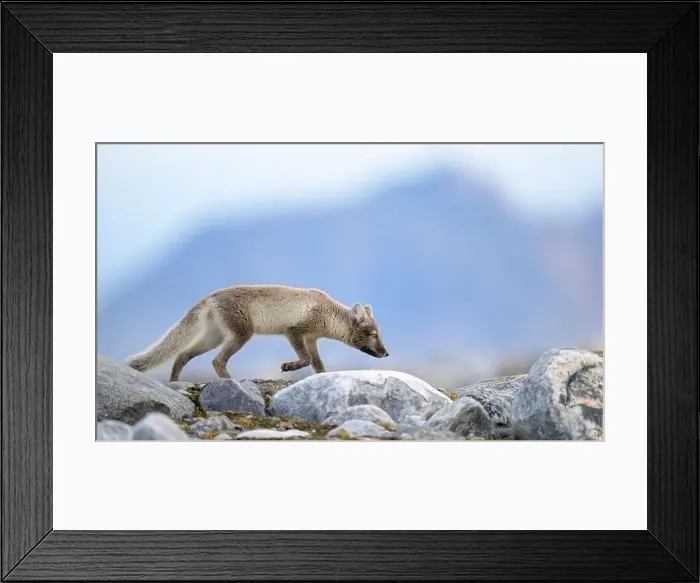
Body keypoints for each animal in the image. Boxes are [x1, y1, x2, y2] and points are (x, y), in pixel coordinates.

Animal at [126, 284, 389, 382]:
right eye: (374, 335)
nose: (386, 354)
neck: (328, 313)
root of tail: (210, 296)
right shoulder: (293, 332)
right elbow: (304, 359)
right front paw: (288, 367)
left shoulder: (312, 340)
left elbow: (317, 365)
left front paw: (320, 379)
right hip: (241, 335)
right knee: (217, 361)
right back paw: (230, 381)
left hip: (214, 338)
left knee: (181, 354)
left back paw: (173, 382)